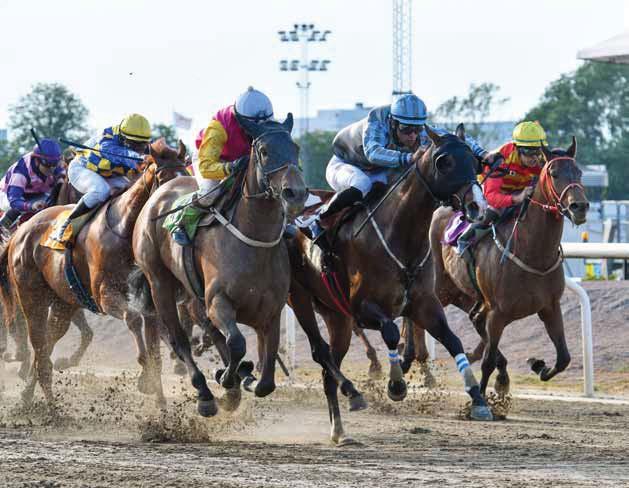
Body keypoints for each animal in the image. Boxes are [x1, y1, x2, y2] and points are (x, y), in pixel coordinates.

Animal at [0, 140, 186, 408]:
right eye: (164, 178)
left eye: (189, 176)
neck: (125, 230)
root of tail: (19, 233)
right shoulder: (104, 294)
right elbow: (133, 319)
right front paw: (144, 373)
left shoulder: (150, 302)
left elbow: (155, 347)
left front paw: (160, 402)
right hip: (31, 297)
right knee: (37, 344)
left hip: (63, 303)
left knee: (46, 346)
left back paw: (28, 394)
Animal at [132, 113, 306, 416]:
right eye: (264, 151)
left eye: (295, 148)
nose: (295, 193)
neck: (254, 243)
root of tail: (158, 194)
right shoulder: (219, 301)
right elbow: (236, 342)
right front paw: (226, 378)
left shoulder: (271, 312)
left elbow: (266, 379)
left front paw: (243, 378)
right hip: (159, 282)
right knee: (180, 338)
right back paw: (205, 393)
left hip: (193, 291)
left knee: (209, 330)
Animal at [288, 126, 494, 446]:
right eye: (444, 161)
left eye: (475, 161)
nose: (478, 207)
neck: (399, 235)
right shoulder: (362, 308)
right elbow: (391, 331)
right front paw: (396, 384)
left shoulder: (424, 304)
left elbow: (452, 340)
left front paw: (477, 397)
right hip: (300, 299)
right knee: (320, 353)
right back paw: (353, 395)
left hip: (336, 317)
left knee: (327, 371)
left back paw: (340, 431)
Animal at [430, 139, 588, 398]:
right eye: (553, 173)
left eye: (579, 172)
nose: (579, 206)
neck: (532, 252)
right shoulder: (498, 313)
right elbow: (487, 361)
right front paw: (482, 398)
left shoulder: (550, 307)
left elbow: (563, 358)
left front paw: (537, 365)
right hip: (440, 288)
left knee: (474, 318)